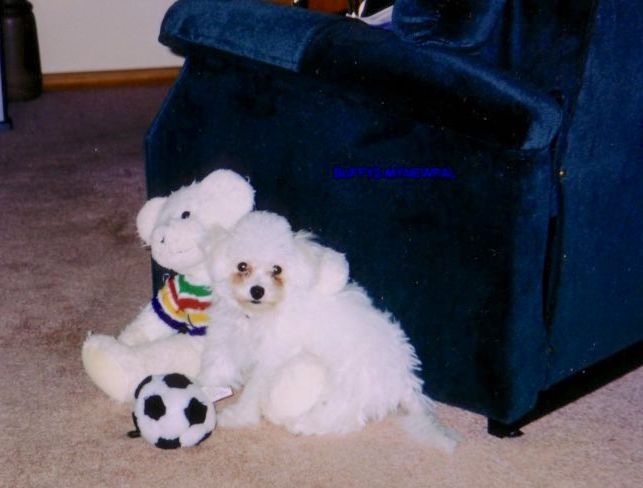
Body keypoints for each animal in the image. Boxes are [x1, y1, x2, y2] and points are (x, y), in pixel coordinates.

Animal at [200, 212, 458, 452]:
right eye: (242, 266)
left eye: (277, 270)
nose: (257, 291)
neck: (257, 316)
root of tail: (405, 378)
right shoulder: (226, 337)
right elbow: (215, 368)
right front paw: (202, 390)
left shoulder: (270, 360)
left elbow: (253, 391)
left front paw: (237, 417)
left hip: (345, 383)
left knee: (345, 418)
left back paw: (304, 425)